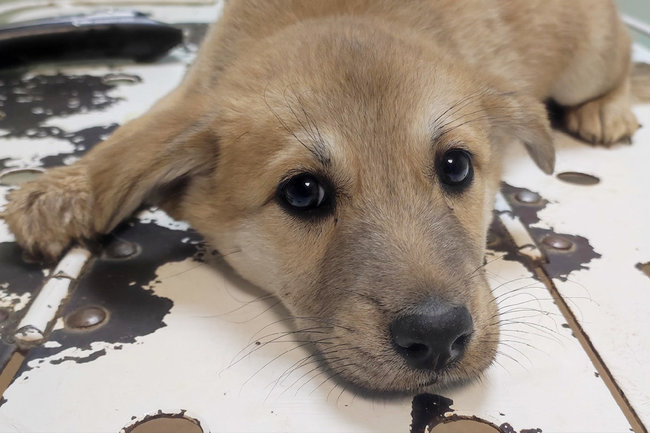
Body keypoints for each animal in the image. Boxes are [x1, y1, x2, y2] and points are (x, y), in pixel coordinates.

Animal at [3, 0, 641, 393]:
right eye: (304, 192)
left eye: (456, 166)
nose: (438, 338)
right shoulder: (191, 93)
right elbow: (132, 136)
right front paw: (65, 188)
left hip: (587, 61)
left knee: (624, 66)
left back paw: (608, 110)